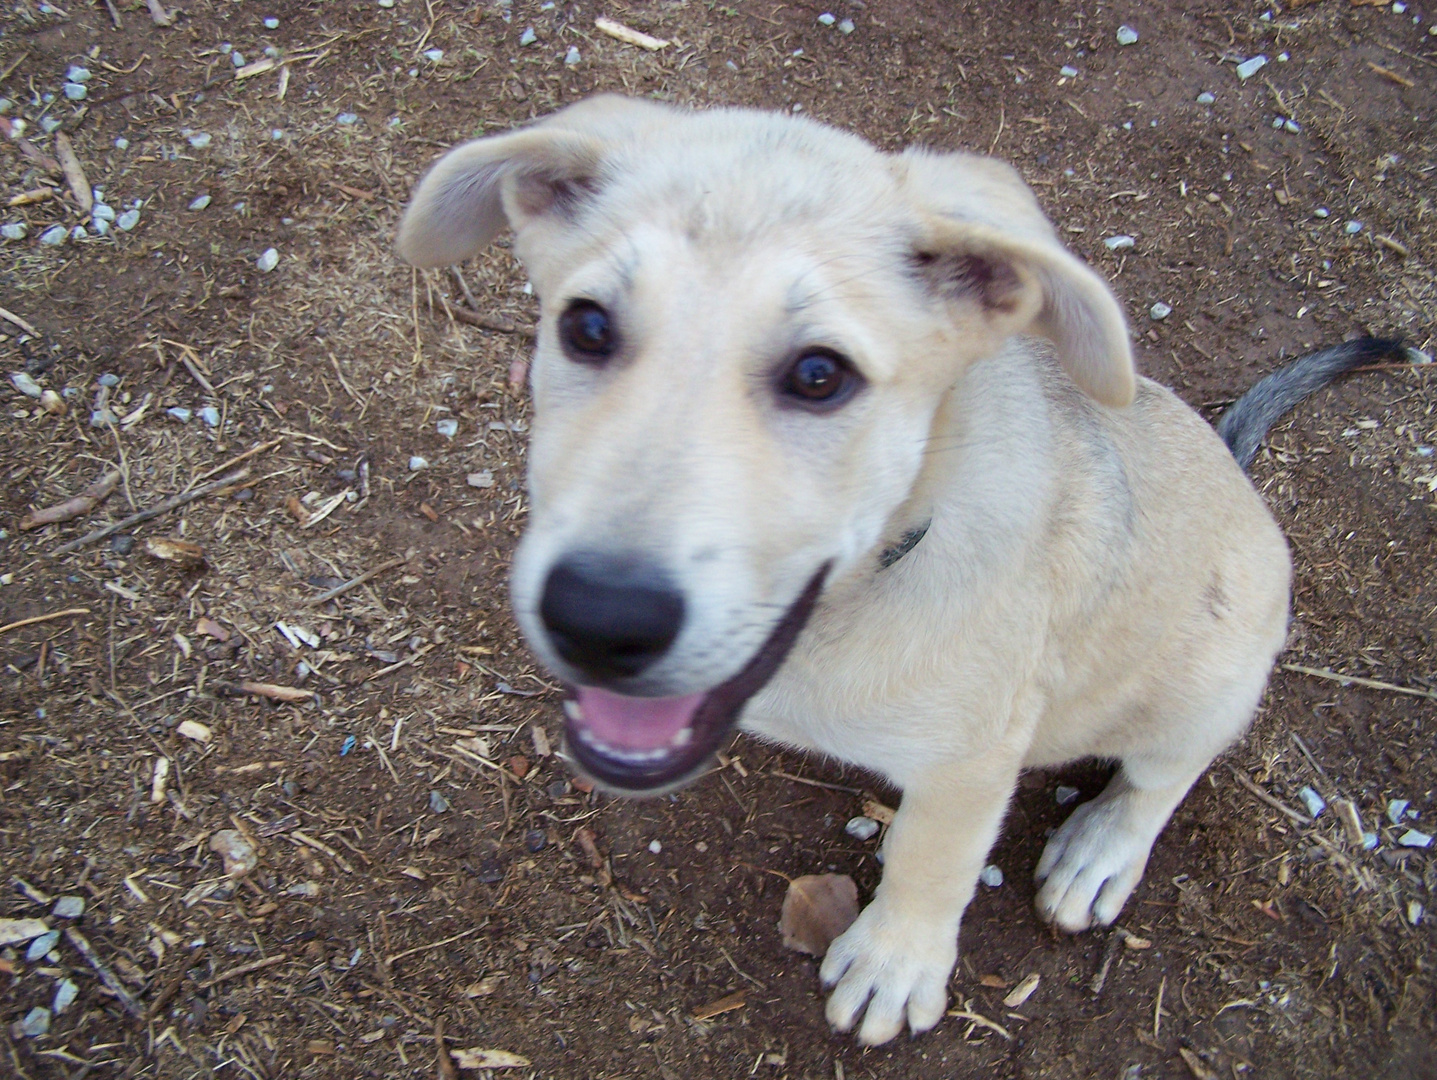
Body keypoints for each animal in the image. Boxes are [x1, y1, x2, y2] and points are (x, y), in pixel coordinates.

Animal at [396, 99, 1402, 1045]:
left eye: (818, 376)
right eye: (586, 326)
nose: (598, 619)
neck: (872, 580)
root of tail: (1236, 468)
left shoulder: (970, 761)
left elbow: (930, 859)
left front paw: (894, 962)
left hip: (1205, 681)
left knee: (1164, 775)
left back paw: (1098, 849)